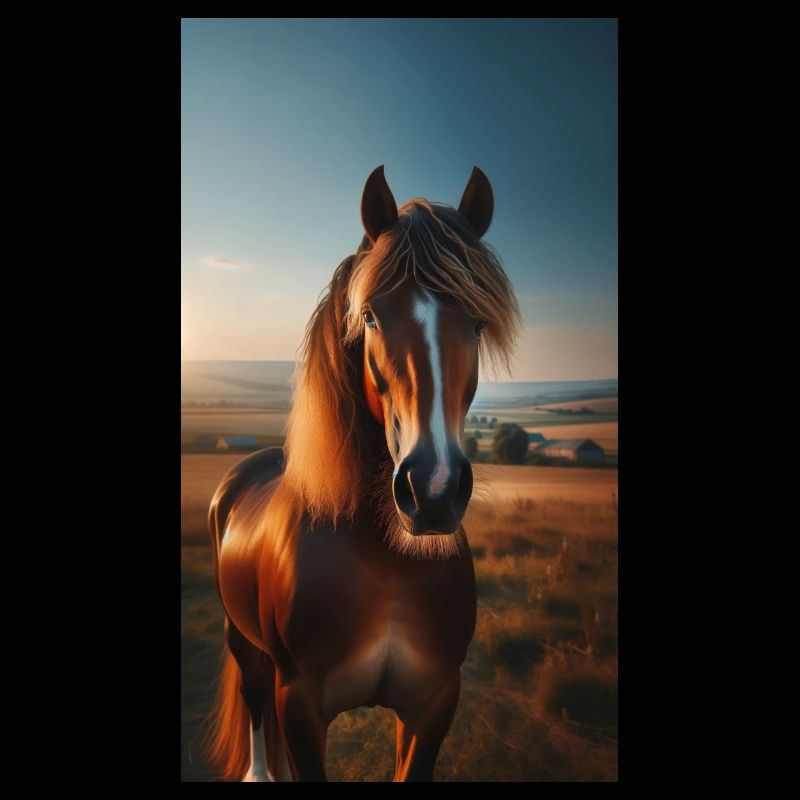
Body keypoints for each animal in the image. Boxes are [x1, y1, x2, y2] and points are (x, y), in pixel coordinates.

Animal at [203, 165, 520, 782]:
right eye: (370, 315)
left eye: (476, 323)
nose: (433, 491)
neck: (389, 561)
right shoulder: (299, 705)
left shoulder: (434, 703)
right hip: (241, 642)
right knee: (255, 711)